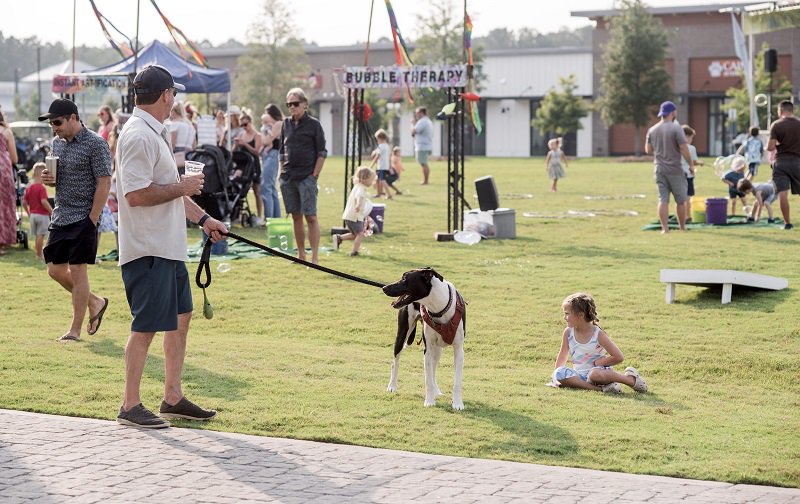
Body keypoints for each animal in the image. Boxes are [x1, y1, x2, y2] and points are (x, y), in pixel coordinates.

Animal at [382, 268, 466, 410]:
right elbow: (427, 380)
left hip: (437, 350)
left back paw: (437, 390)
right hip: (402, 335)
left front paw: (458, 404)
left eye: (405, 278)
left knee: (433, 369)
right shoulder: (428, 349)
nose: (384, 287)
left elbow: (457, 382)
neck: (439, 308)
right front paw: (429, 401)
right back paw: (392, 386)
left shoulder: (459, 350)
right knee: (395, 362)